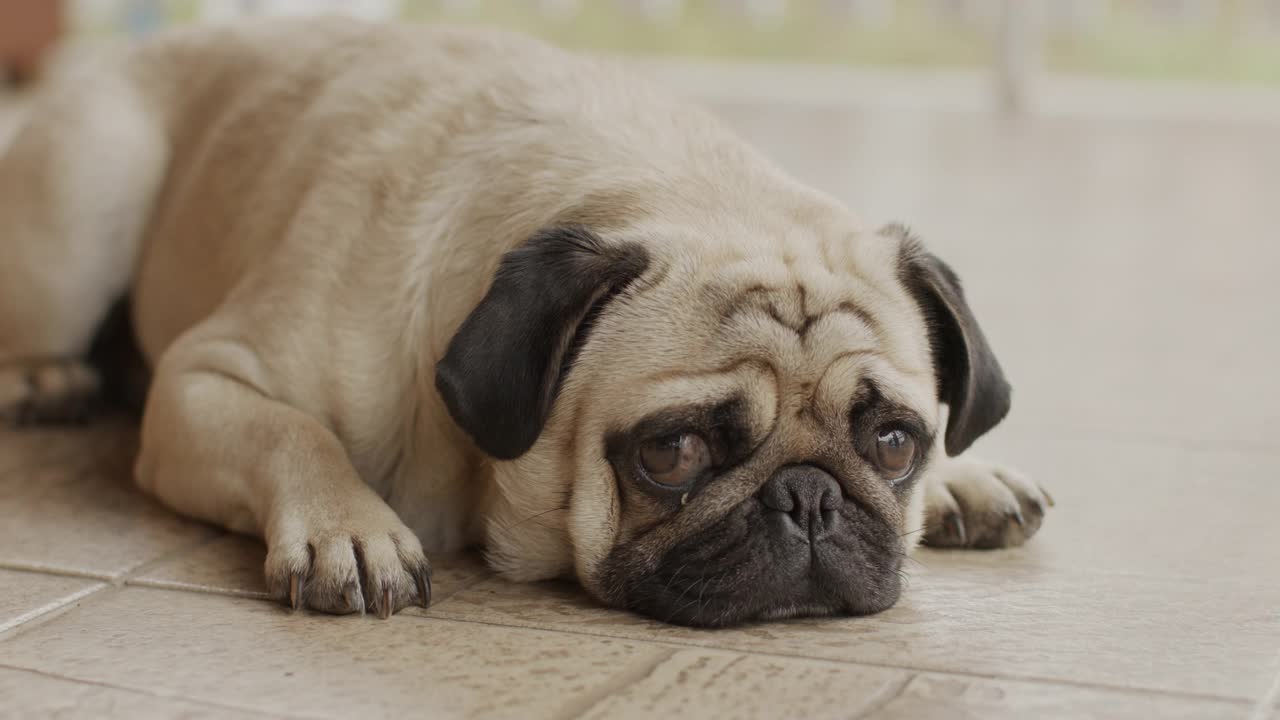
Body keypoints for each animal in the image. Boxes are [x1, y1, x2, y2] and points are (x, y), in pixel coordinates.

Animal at [0, 15, 1049, 622]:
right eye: (670, 453)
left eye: (895, 442)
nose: (809, 499)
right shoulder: (206, 378)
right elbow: (292, 431)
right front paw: (350, 527)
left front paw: (960, 477)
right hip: (90, 200)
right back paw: (45, 377)